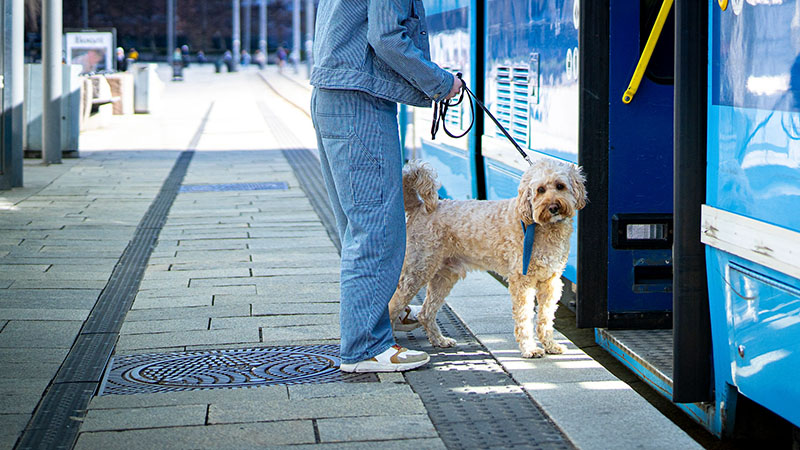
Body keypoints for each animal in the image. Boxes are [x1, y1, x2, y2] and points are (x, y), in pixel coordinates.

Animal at [390, 158, 584, 358]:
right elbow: (524, 317)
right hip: (416, 272)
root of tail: (420, 207)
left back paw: (439, 340)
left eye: (560, 186)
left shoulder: (550, 282)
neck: (538, 224)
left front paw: (551, 345)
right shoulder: (522, 281)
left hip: (444, 276)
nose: (553, 207)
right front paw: (529, 348)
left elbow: (546, 317)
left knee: (425, 313)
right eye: (540, 190)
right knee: (392, 306)